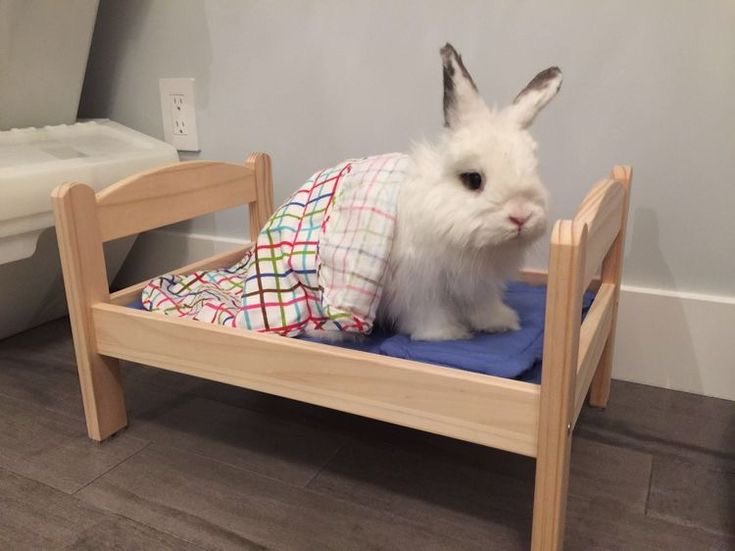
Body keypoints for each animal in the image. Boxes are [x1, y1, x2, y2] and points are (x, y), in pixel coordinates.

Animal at [376, 43, 562, 341]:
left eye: (534, 169)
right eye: (473, 179)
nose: (520, 217)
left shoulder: (478, 286)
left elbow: (483, 306)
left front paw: (500, 322)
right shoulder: (420, 286)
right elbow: (429, 313)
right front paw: (446, 334)